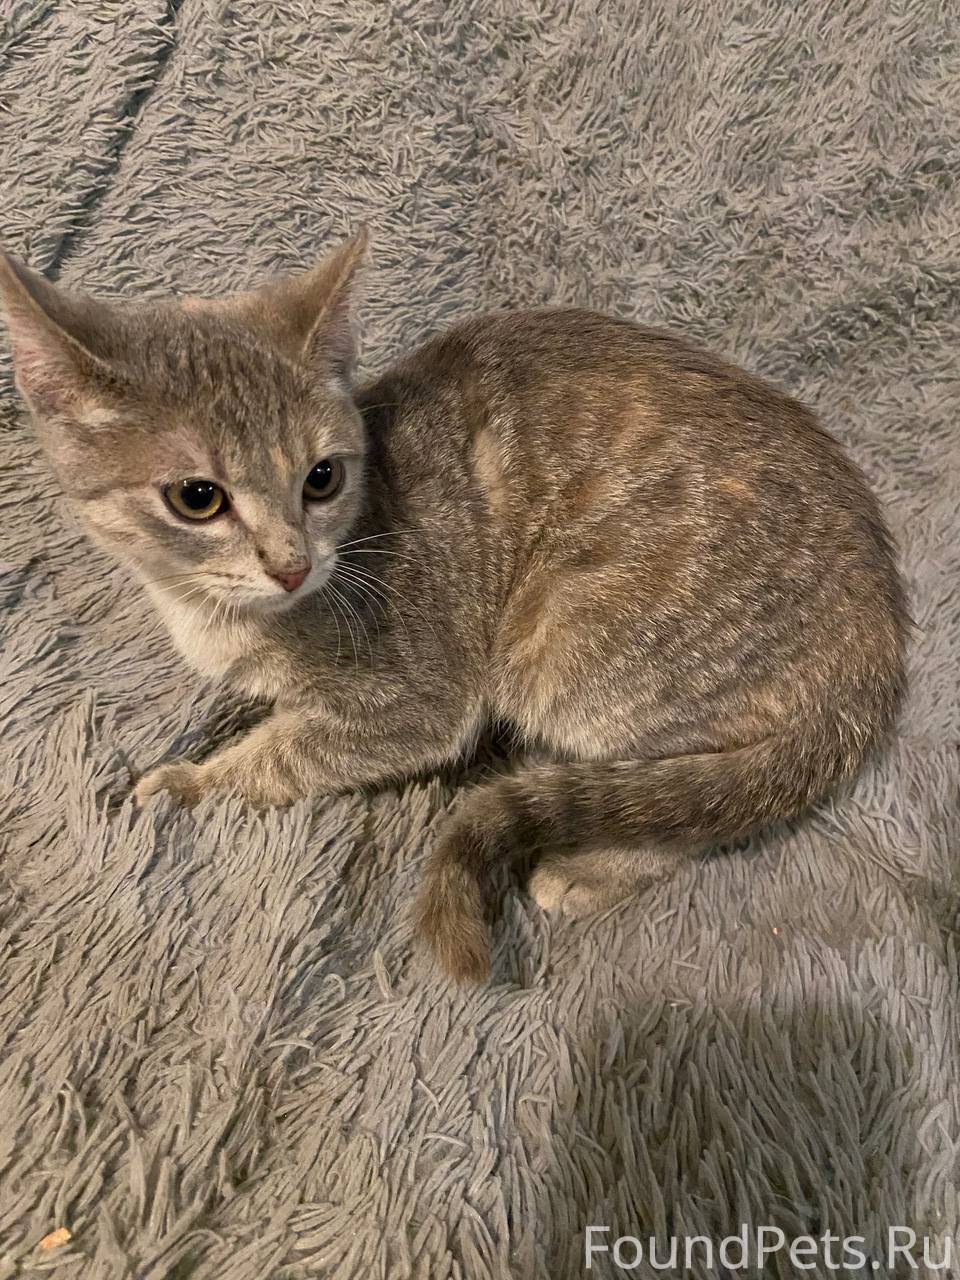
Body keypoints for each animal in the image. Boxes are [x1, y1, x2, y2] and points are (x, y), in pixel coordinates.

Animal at [0, 232, 908, 982]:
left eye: (321, 478)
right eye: (198, 498)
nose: (292, 567)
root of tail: (877, 648)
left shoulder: (414, 701)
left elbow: (284, 754)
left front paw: (189, 783)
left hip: (570, 647)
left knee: (696, 804)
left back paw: (592, 863)